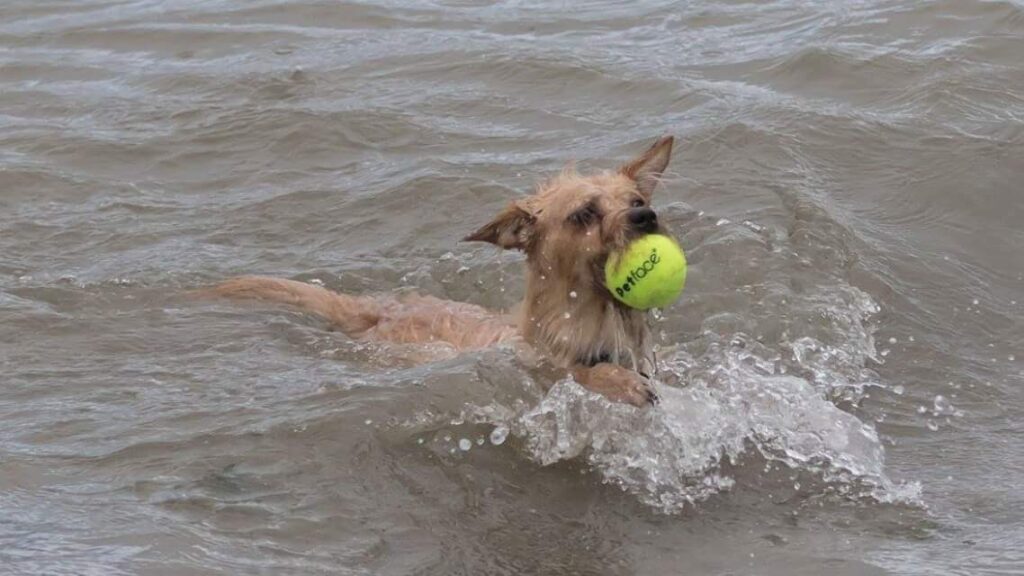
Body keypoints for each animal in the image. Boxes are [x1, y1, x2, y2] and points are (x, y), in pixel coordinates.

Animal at [209, 135, 671, 405]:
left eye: (635, 201)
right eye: (584, 213)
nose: (645, 216)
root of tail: (375, 308)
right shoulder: (547, 368)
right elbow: (580, 374)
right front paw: (619, 382)